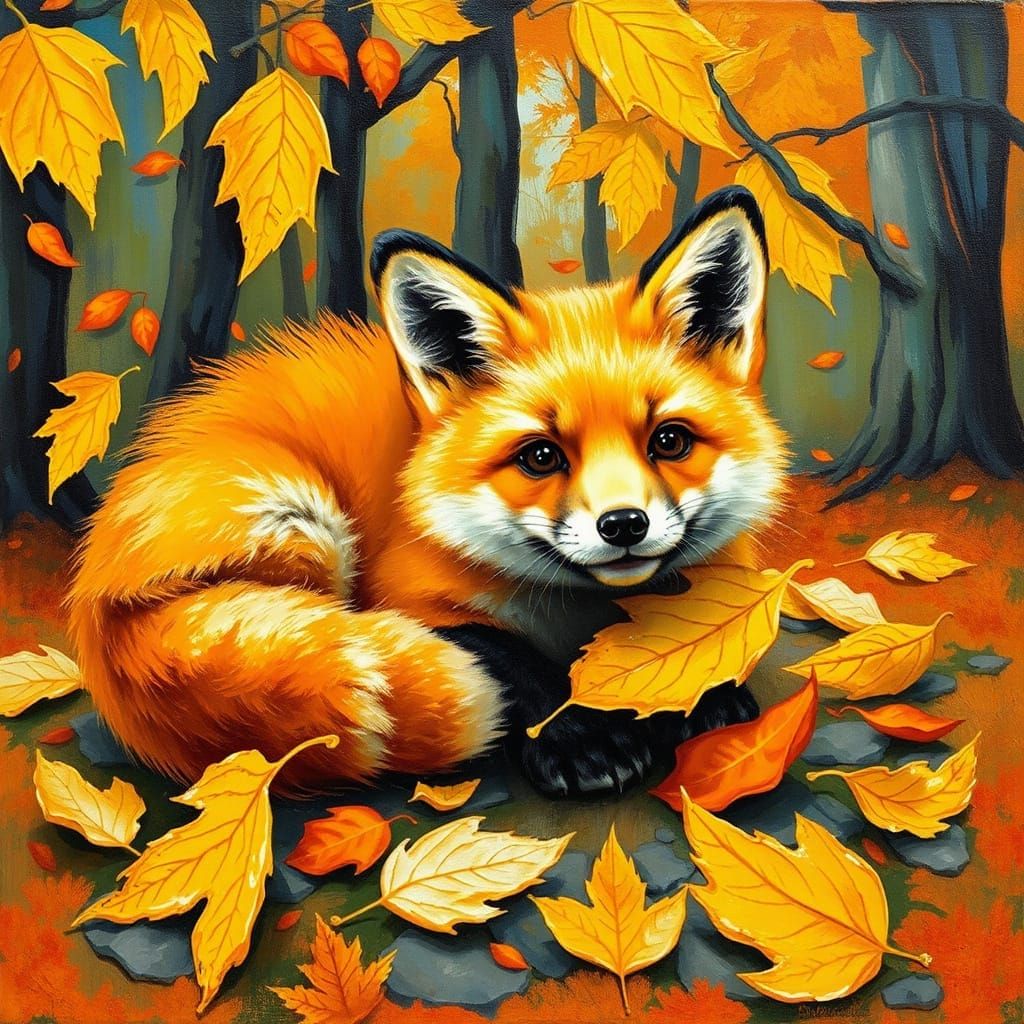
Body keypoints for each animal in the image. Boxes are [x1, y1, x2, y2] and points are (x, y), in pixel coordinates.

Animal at [67, 186, 788, 799]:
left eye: (669, 441)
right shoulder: (400, 594)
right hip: (301, 519)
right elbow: (509, 654)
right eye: (540, 456)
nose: (624, 525)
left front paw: (704, 690)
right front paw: (580, 737)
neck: (581, 612)